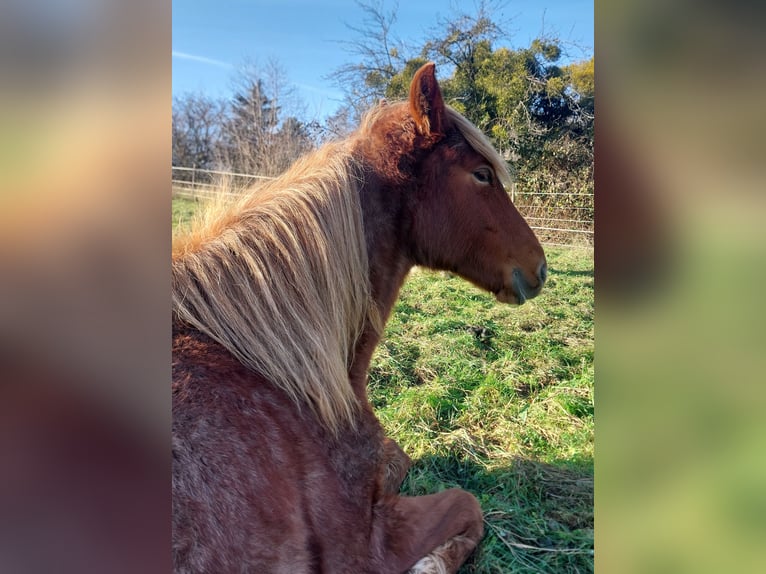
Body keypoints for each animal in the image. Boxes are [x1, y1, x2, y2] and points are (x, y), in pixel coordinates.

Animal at [173, 63, 544, 574]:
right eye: (483, 174)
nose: (540, 267)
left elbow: (399, 460)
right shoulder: (364, 546)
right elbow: (467, 503)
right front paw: (430, 564)